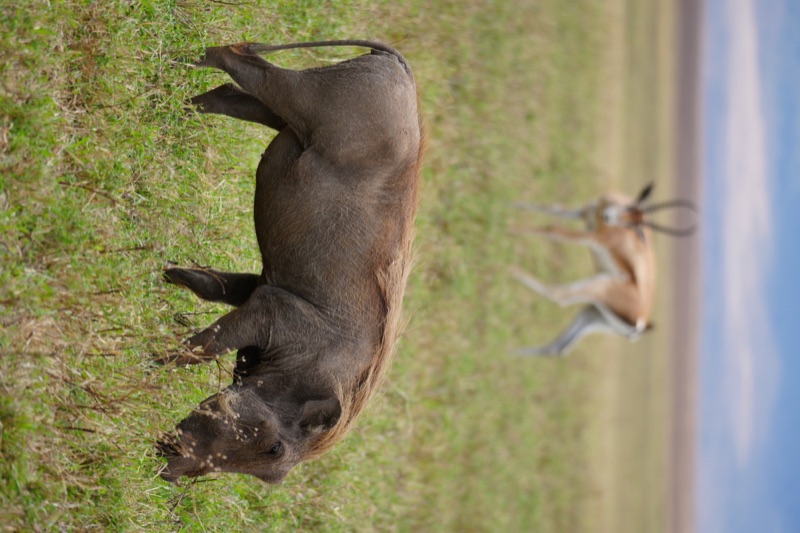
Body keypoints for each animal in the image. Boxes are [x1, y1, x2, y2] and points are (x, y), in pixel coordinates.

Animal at [511, 183, 695, 356]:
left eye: (635, 226)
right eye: (631, 209)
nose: (607, 217)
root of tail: (642, 324)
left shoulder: (594, 237)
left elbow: (553, 229)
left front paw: (509, 227)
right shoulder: (585, 211)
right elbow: (548, 207)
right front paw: (510, 205)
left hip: (600, 285)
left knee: (559, 295)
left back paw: (512, 269)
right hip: (595, 313)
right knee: (559, 347)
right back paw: (509, 352)